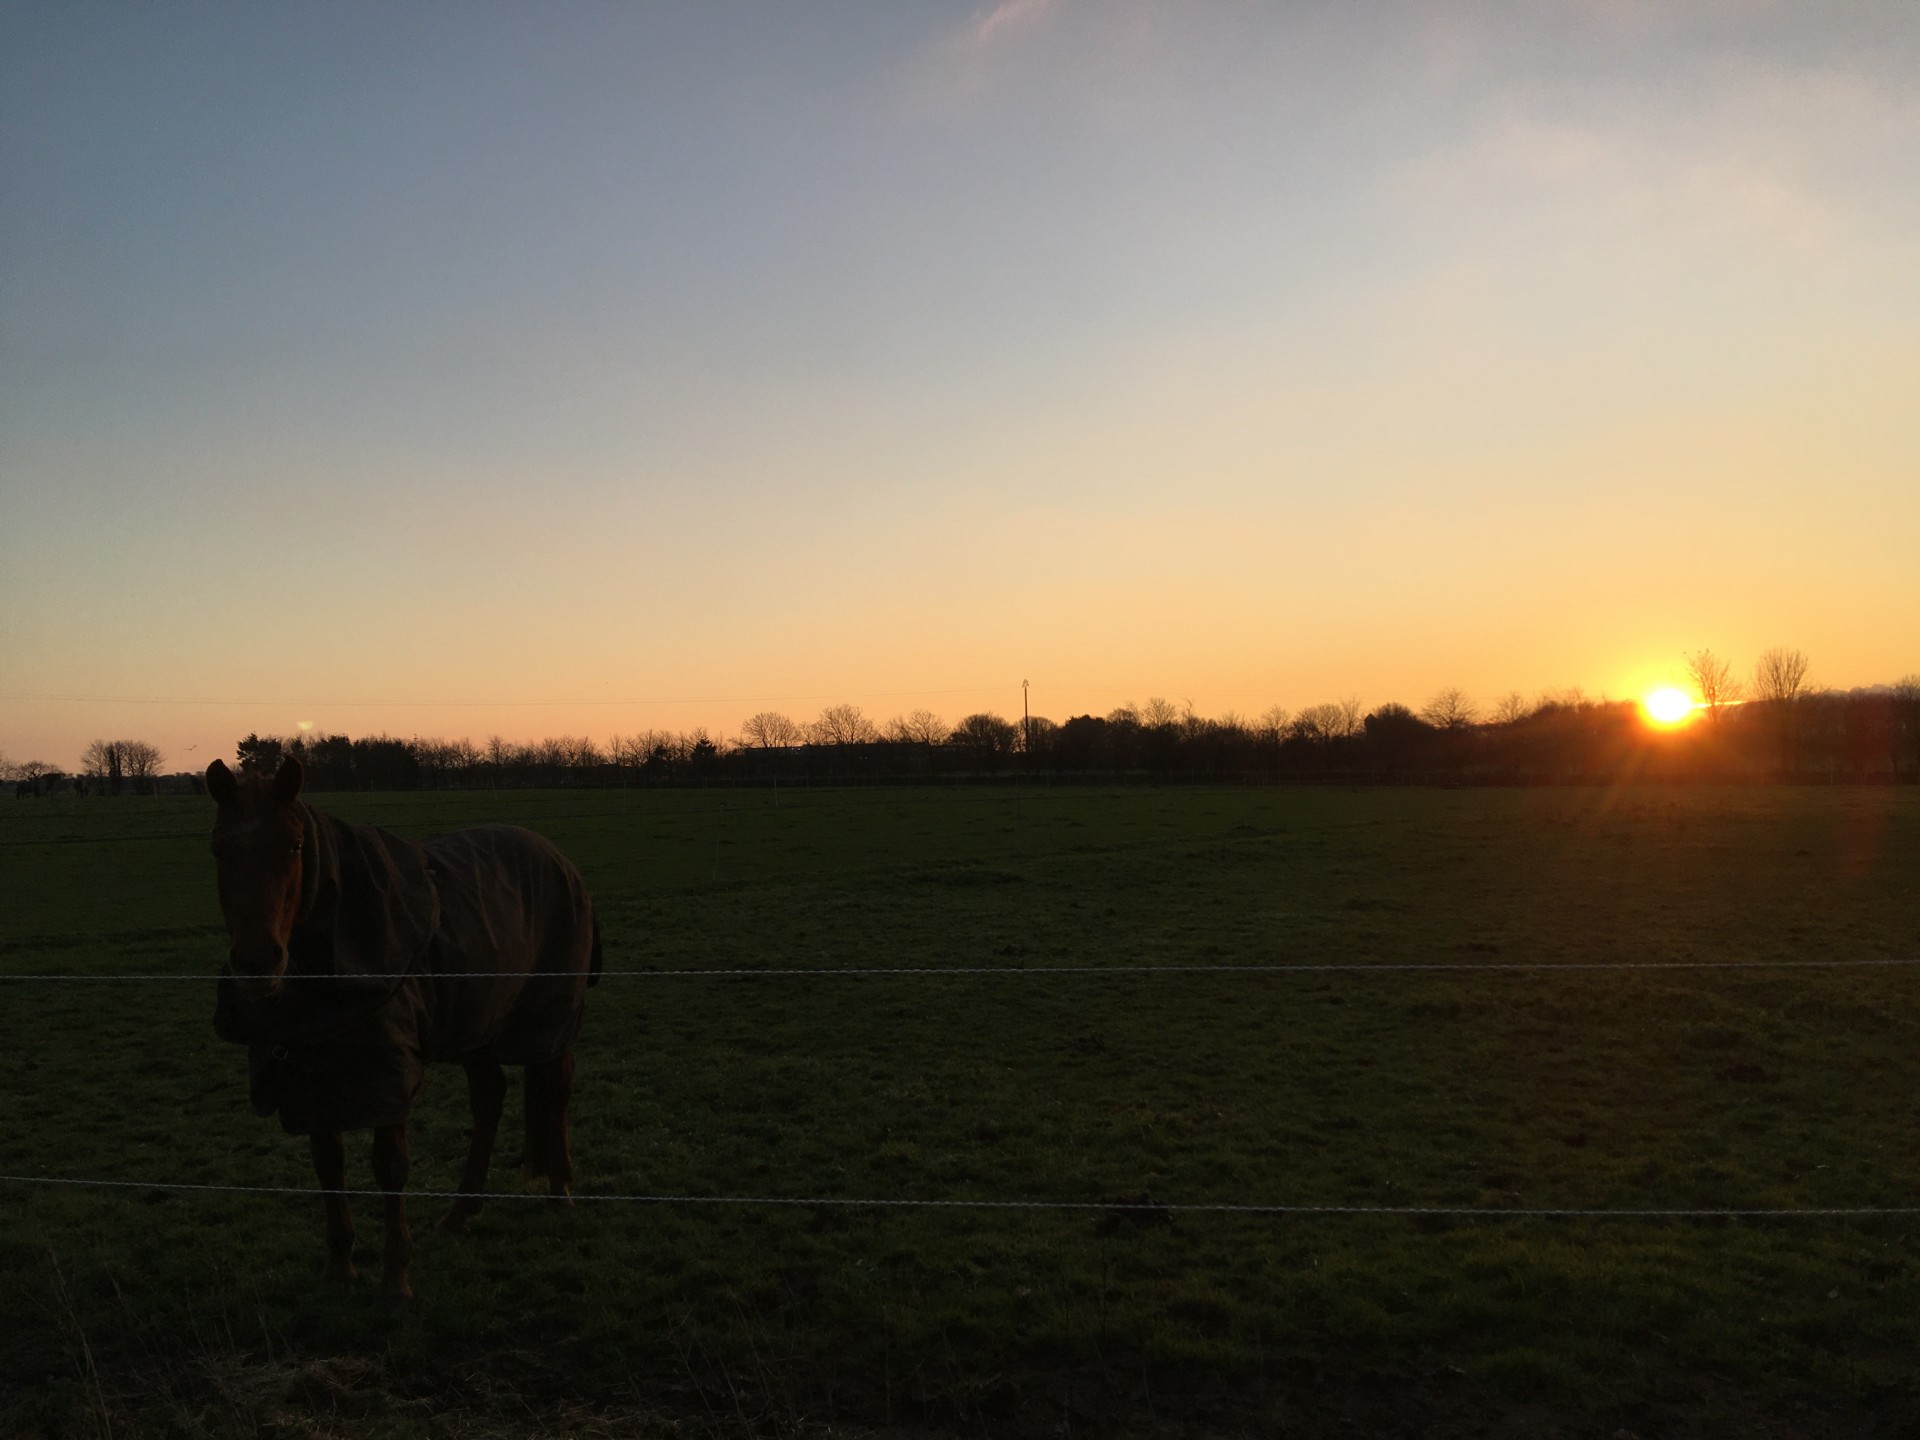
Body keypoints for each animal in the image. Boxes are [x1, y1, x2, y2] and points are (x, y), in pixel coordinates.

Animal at [205, 760, 595, 1305]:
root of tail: (556, 857)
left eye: (295, 846)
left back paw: (559, 1193)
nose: (258, 962)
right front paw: (339, 1267)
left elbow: (390, 1167)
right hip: (478, 1021)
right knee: (489, 1097)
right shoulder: (311, 1076)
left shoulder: (390, 1073)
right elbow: (328, 1164)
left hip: (547, 1015)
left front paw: (395, 1279)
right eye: (219, 849)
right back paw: (462, 1211)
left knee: (554, 1089)